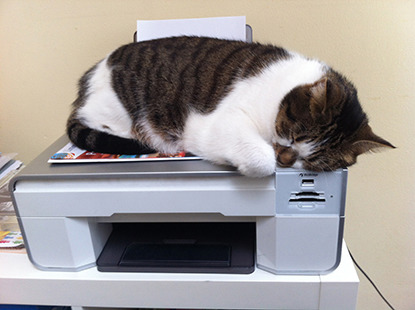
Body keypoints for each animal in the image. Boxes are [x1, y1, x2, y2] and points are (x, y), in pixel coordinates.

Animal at [66, 36, 394, 177]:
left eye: (312, 161)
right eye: (293, 136)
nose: (286, 161)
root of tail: (91, 73)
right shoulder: (214, 124)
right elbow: (261, 159)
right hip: (117, 110)